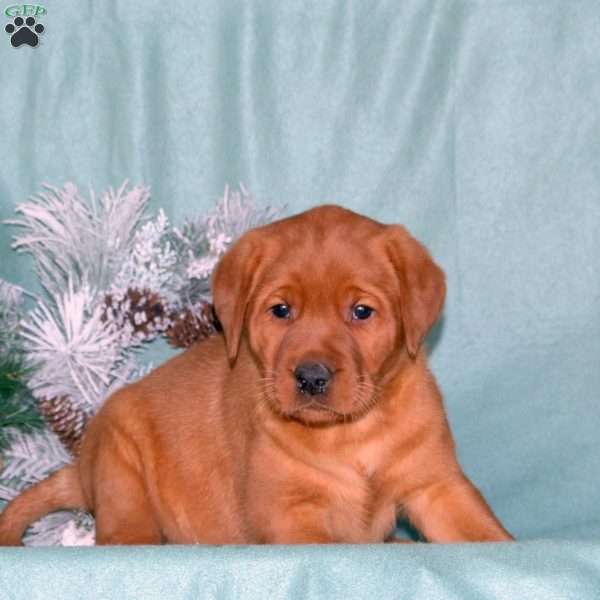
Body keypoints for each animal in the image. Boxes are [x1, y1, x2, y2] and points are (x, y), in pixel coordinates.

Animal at [0, 205, 510, 544]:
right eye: (281, 310)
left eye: (361, 312)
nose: (311, 377)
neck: (350, 434)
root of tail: (80, 468)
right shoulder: (287, 513)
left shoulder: (437, 486)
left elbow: (488, 537)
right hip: (121, 471)